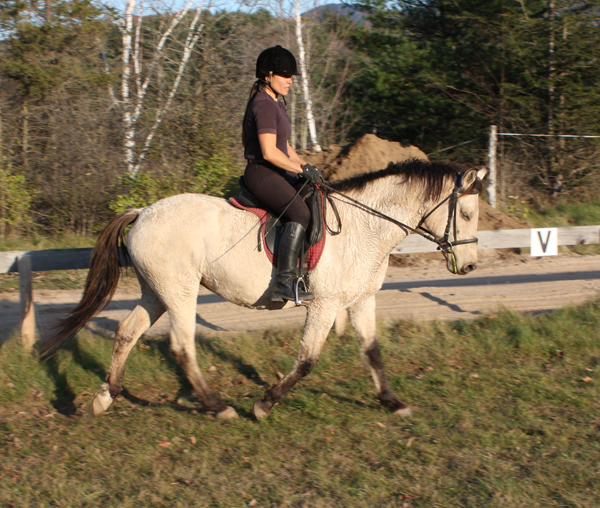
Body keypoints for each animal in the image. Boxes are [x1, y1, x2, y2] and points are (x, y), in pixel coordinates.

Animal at [42, 160, 488, 420]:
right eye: (466, 213)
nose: (468, 266)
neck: (366, 226)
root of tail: (143, 211)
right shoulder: (325, 306)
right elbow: (307, 361)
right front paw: (263, 403)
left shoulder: (361, 300)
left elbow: (373, 352)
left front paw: (392, 403)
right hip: (179, 292)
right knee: (182, 346)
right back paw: (218, 407)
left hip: (157, 291)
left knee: (126, 332)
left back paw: (107, 397)